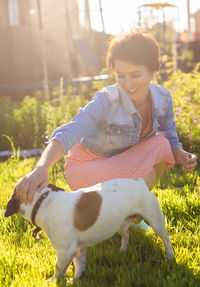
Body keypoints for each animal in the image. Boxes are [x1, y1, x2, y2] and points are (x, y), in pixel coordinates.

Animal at [4, 179, 173, 282]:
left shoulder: (65, 251)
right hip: (120, 224)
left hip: (155, 219)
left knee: (165, 237)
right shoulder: (77, 249)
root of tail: (140, 183)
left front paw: (52, 281)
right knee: (126, 234)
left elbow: (59, 269)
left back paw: (170, 256)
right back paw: (123, 250)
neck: (42, 201)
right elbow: (79, 265)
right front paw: (76, 278)